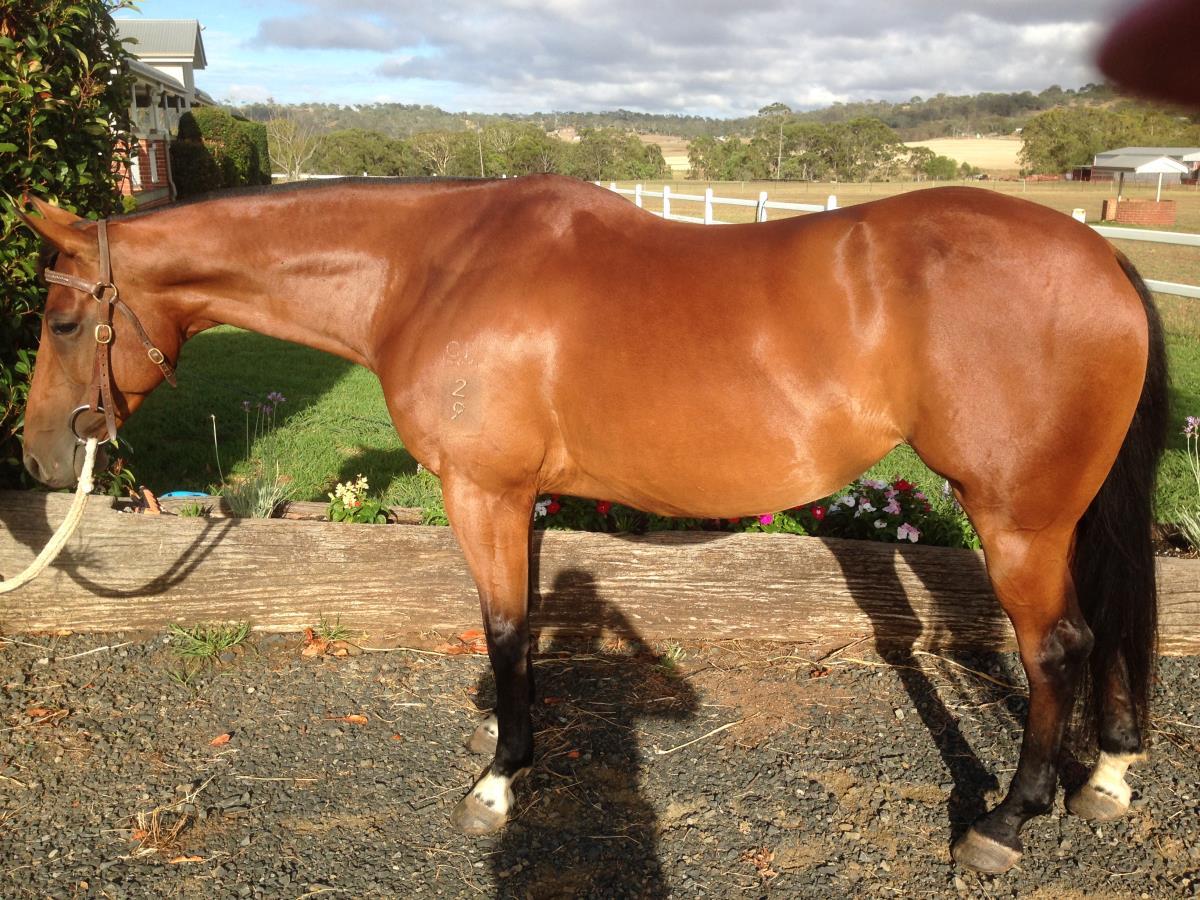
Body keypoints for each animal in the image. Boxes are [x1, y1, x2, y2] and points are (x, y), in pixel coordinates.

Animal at [15, 175, 1167, 874]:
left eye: (65, 320)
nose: (35, 460)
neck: (427, 270)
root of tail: (1101, 258)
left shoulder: (481, 491)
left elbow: (502, 630)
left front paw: (496, 785)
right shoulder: (515, 498)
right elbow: (523, 626)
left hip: (1017, 520)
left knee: (1057, 645)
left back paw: (1007, 821)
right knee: (1103, 632)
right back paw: (1107, 775)